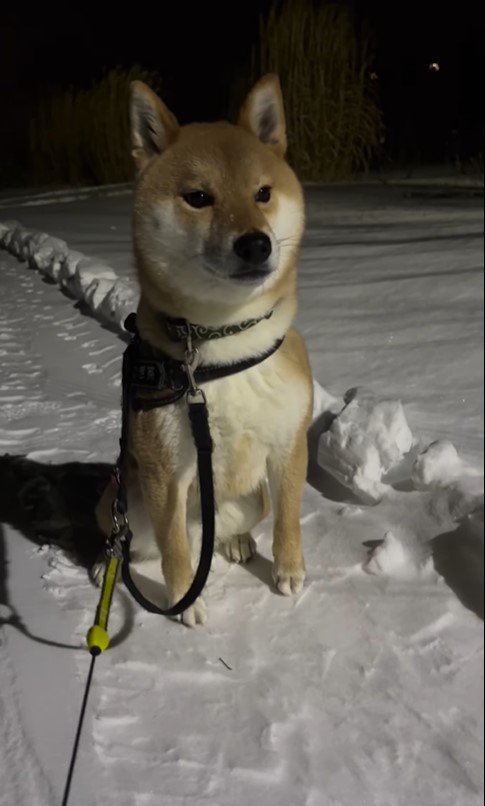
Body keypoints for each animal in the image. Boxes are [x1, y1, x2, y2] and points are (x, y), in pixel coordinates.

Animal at [96, 74, 312, 624]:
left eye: (263, 194)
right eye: (198, 197)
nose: (256, 243)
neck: (222, 346)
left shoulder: (288, 444)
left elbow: (289, 518)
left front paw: (289, 570)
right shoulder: (164, 471)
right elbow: (173, 551)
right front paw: (182, 600)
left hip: (248, 498)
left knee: (223, 531)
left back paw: (234, 541)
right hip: (123, 495)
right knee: (135, 541)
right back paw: (104, 565)